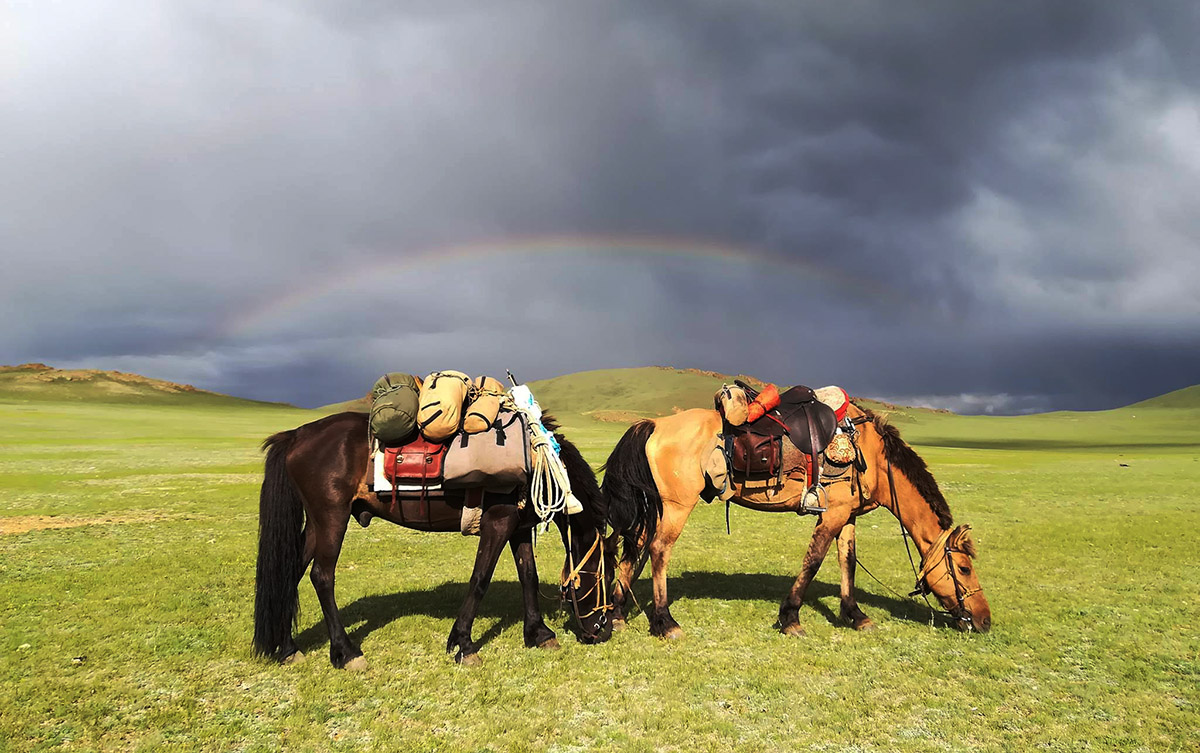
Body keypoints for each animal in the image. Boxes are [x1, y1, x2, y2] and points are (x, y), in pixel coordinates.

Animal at [250, 407, 609, 666]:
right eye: (602, 577)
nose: (602, 630)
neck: (537, 459)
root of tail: (296, 435)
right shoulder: (498, 523)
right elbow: (480, 579)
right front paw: (463, 644)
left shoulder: (518, 527)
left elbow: (528, 577)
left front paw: (539, 633)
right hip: (331, 518)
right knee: (322, 577)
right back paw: (346, 652)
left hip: (316, 523)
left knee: (289, 572)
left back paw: (287, 649)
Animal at [604, 402, 988, 637]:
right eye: (964, 568)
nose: (984, 620)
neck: (873, 458)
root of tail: (653, 424)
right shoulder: (832, 515)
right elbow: (814, 561)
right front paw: (790, 618)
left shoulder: (848, 516)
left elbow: (847, 561)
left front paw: (856, 616)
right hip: (677, 505)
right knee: (658, 550)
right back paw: (665, 622)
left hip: (657, 506)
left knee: (635, 548)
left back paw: (618, 614)